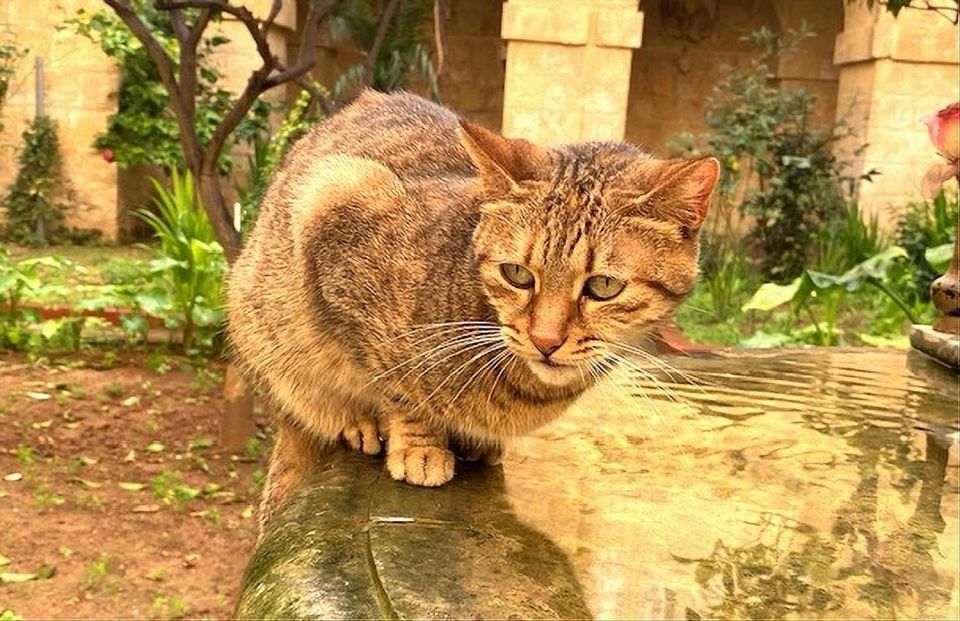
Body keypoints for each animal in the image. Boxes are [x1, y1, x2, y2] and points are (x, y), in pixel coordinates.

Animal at [229, 88, 716, 528]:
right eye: (517, 274)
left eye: (603, 286)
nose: (545, 340)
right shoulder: (336, 208)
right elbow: (396, 387)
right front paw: (420, 445)